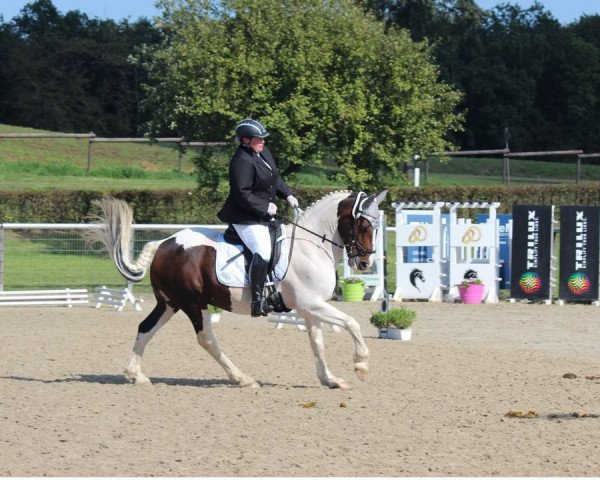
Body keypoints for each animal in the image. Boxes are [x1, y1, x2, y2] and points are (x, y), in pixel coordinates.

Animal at [89, 189, 390, 388]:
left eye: (376, 227)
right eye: (363, 225)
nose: (365, 263)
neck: (312, 246)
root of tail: (164, 243)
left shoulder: (309, 307)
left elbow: (317, 343)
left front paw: (330, 379)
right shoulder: (312, 303)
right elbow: (351, 322)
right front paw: (361, 365)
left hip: (170, 304)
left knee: (145, 328)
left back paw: (136, 374)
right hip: (192, 304)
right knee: (207, 339)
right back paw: (241, 378)